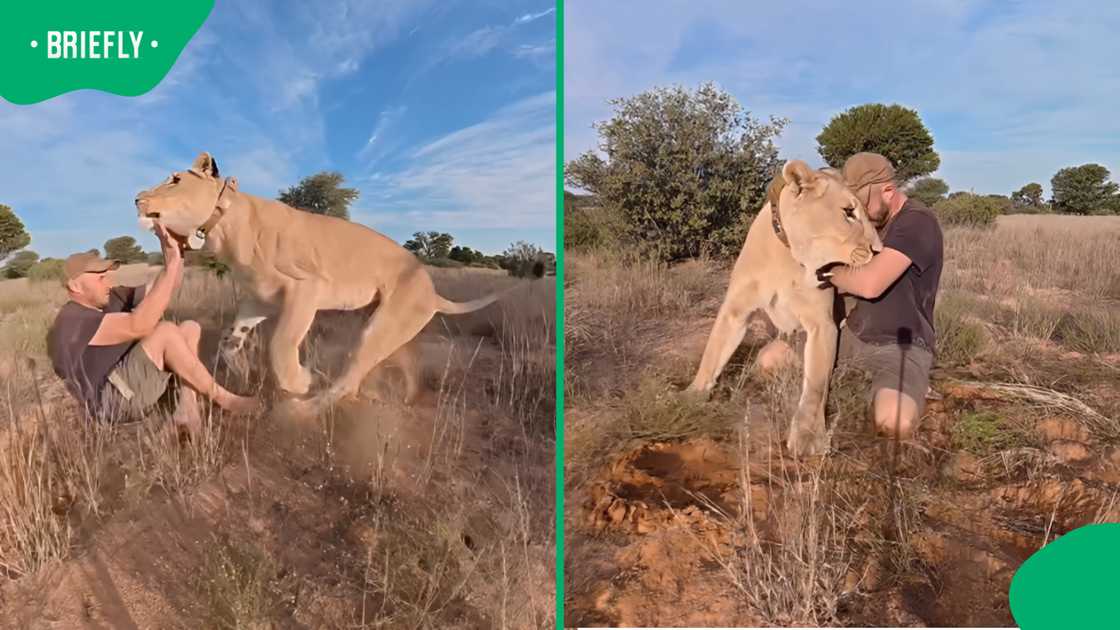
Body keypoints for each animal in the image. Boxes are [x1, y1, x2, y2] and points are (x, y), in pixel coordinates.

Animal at [135, 152, 525, 408]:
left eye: (174, 180)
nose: (137, 198)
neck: (222, 226)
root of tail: (431, 289)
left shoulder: (306, 288)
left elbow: (280, 344)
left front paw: (298, 381)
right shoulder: (259, 299)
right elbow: (230, 340)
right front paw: (243, 371)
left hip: (379, 329)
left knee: (349, 377)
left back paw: (307, 408)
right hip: (389, 328)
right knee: (385, 370)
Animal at [685, 159, 883, 456]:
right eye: (848, 213)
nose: (880, 249)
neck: (788, 255)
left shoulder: (822, 323)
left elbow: (815, 385)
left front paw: (808, 436)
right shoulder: (735, 311)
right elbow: (712, 353)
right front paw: (691, 395)